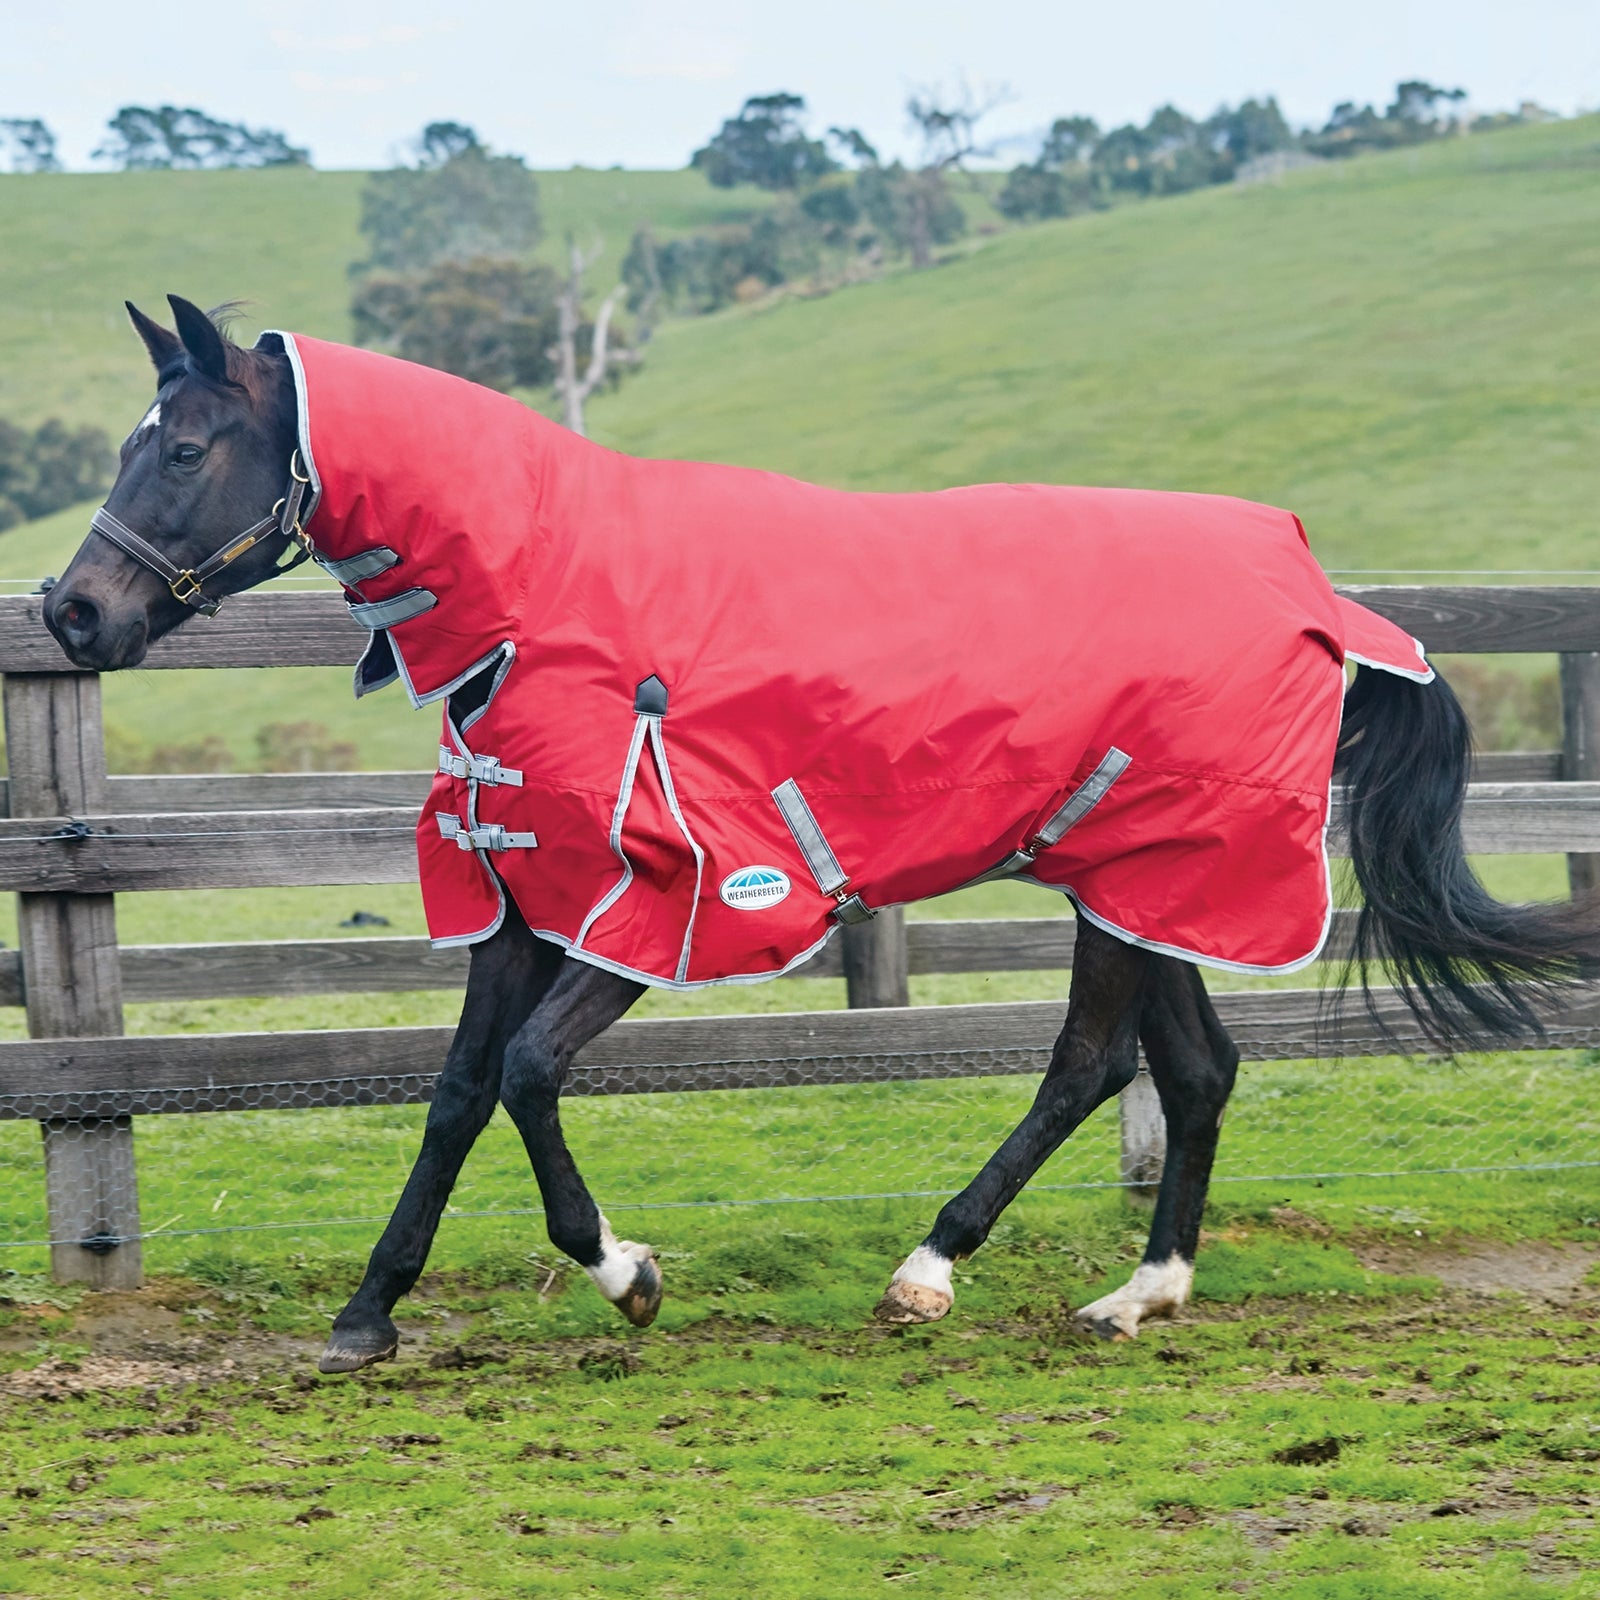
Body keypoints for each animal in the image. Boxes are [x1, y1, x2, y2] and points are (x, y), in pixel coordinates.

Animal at [45, 296, 1599, 1375]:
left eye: (184, 446)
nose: (72, 614)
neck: (548, 594)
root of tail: (1318, 590)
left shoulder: (672, 905)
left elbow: (534, 1076)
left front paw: (626, 1272)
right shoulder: (524, 898)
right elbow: (458, 1093)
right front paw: (368, 1312)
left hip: (1156, 875)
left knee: (1102, 1067)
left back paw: (948, 1271)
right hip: (1136, 879)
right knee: (1182, 1071)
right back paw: (1124, 1292)